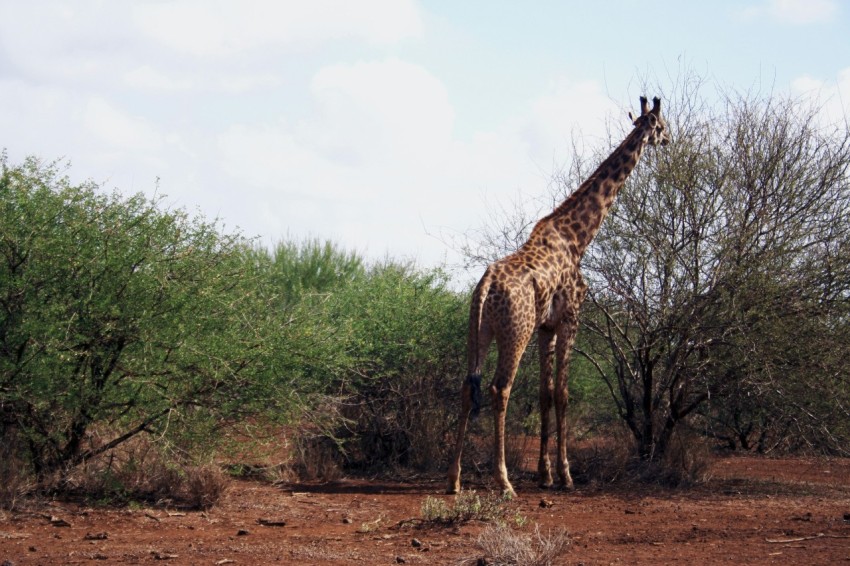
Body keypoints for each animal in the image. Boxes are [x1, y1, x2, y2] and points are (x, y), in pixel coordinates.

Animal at [447, 96, 670, 497]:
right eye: (661, 126)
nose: (671, 140)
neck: (578, 238)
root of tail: (485, 286)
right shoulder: (570, 317)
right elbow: (564, 394)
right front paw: (566, 475)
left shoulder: (545, 327)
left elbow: (545, 394)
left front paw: (544, 474)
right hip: (514, 333)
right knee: (499, 389)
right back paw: (503, 481)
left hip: (479, 331)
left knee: (466, 388)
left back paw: (454, 479)